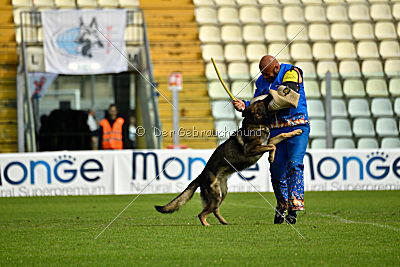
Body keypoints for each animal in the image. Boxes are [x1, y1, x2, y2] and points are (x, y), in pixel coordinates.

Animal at [155, 96, 302, 226]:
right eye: (261, 101)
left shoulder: (267, 142)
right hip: (215, 196)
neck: (255, 123)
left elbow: (281, 135)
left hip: (223, 193)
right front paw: (271, 157)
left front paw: (296, 132)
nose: (270, 93)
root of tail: (201, 175)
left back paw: (223, 222)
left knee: (214, 210)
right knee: (202, 213)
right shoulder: (251, 149)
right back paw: (206, 224)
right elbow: (273, 146)